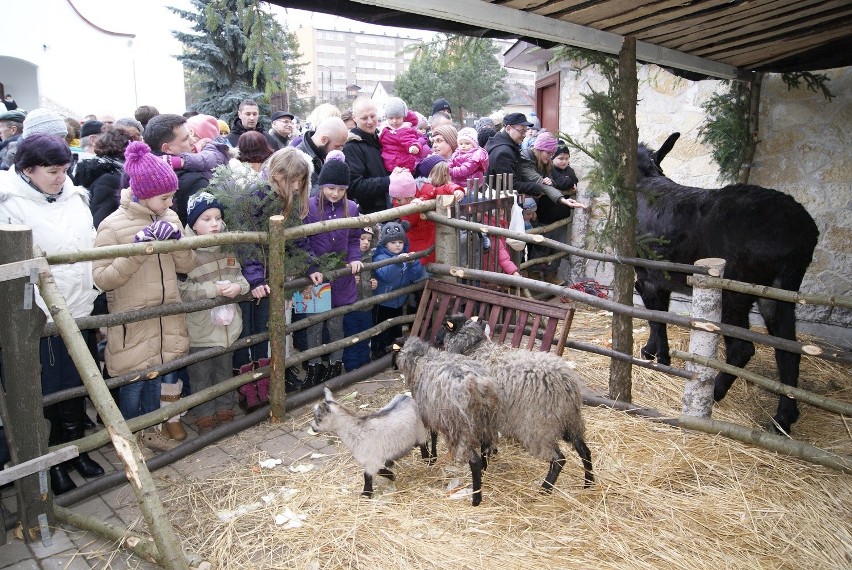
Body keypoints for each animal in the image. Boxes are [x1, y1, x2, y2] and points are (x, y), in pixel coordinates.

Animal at [392, 336, 500, 504]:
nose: (393, 366)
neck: (421, 358)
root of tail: (479, 387)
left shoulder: (426, 411)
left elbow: (428, 434)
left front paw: (428, 457)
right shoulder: (435, 412)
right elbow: (434, 434)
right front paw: (433, 456)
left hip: (461, 428)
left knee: (474, 461)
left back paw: (476, 498)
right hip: (485, 422)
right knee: (485, 448)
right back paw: (484, 471)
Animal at [440, 312, 592, 490]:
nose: (436, 338)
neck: (474, 349)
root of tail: (567, 383)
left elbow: (484, 446)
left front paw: (483, 469)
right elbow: (488, 444)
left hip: (539, 426)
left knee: (559, 458)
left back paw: (545, 489)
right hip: (571, 422)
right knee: (584, 450)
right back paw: (588, 484)